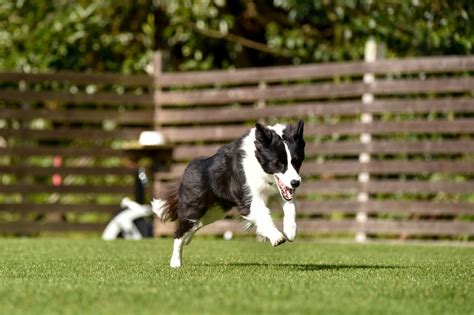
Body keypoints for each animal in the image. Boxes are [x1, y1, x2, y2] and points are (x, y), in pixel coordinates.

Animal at [153, 119, 308, 268]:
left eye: (297, 161)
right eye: (278, 163)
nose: (296, 183)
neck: (259, 163)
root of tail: (188, 168)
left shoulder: (280, 191)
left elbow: (290, 207)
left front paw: (290, 231)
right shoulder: (249, 198)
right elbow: (263, 215)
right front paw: (276, 237)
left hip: (215, 212)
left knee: (195, 226)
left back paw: (187, 240)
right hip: (194, 207)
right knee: (180, 231)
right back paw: (175, 262)